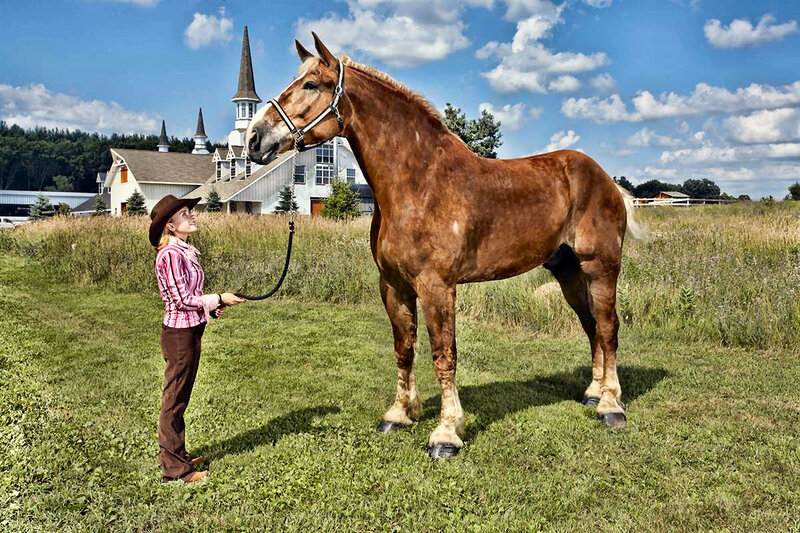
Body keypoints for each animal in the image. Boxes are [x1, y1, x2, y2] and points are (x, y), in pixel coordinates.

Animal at [246, 33, 644, 458]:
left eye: (310, 84)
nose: (254, 138)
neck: (418, 184)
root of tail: (606, 180)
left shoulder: (436, 286)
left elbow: (443, 354)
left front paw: (447, 432)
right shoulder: (394, 286)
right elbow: (405, 349)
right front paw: (398, 414)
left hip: (601, 267)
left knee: (608, 327)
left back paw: (610, 405)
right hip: (568, 271)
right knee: (590, 325)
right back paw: (593, 393)